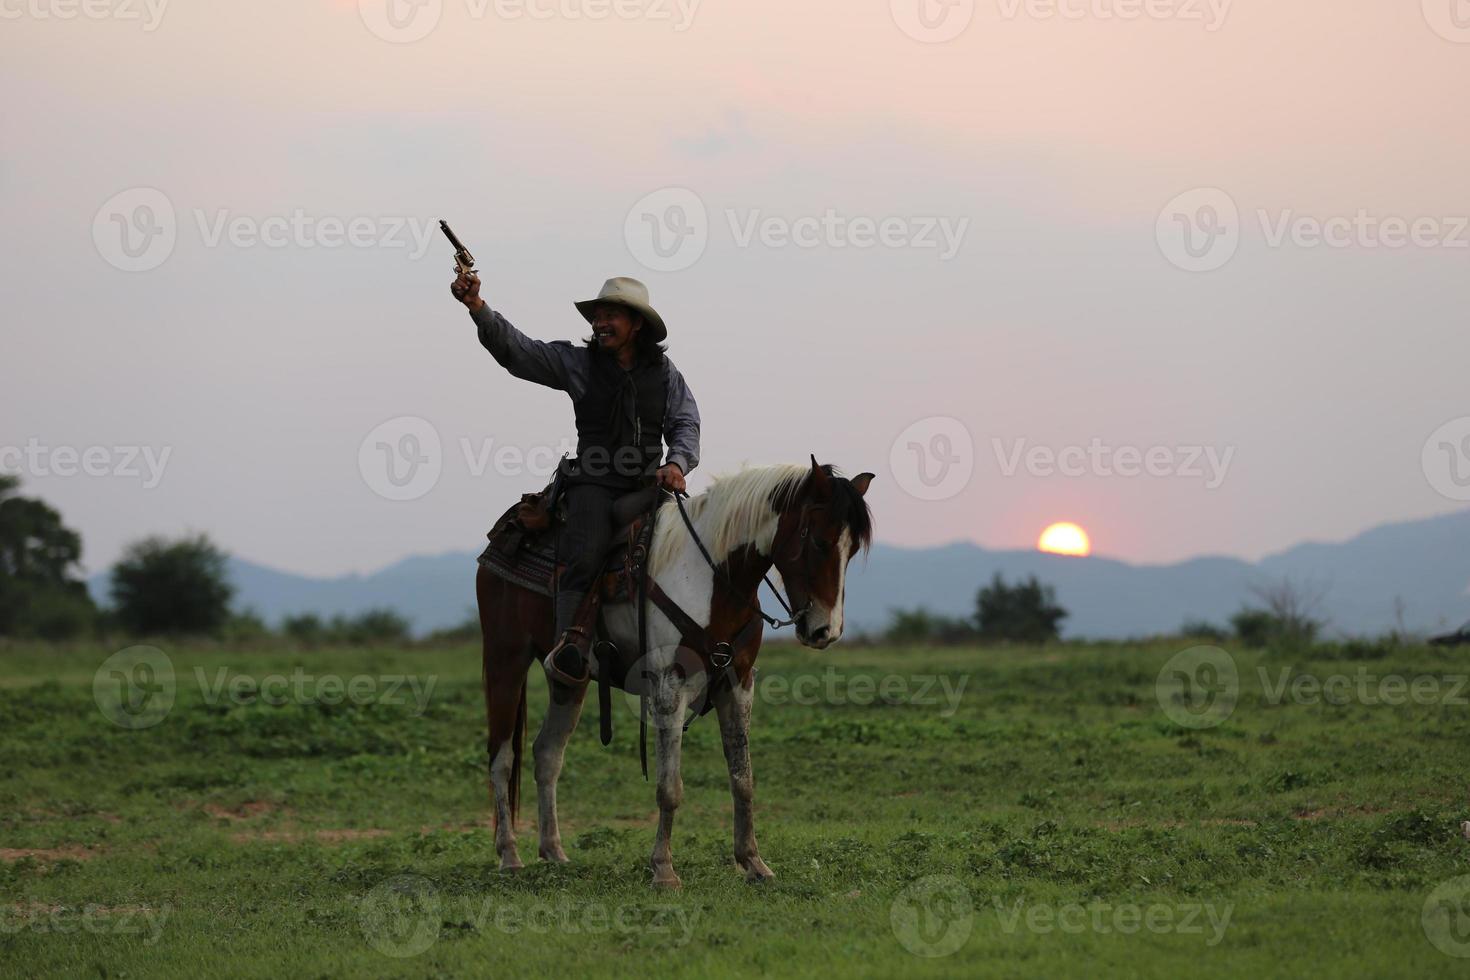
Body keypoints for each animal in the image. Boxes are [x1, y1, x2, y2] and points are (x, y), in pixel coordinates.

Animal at [479, 461, 870, 887]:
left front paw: (753, 862)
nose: (825, 631)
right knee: (501, 757)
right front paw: (664, 869)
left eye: (851, 550)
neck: (711, 578)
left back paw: (554, 852)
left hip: (569, 681)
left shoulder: (738, 683)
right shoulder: (670, 684)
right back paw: (508, 854)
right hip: (505, 659)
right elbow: (670, 786)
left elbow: (743, 779)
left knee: (547, 753)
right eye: (818, 541)